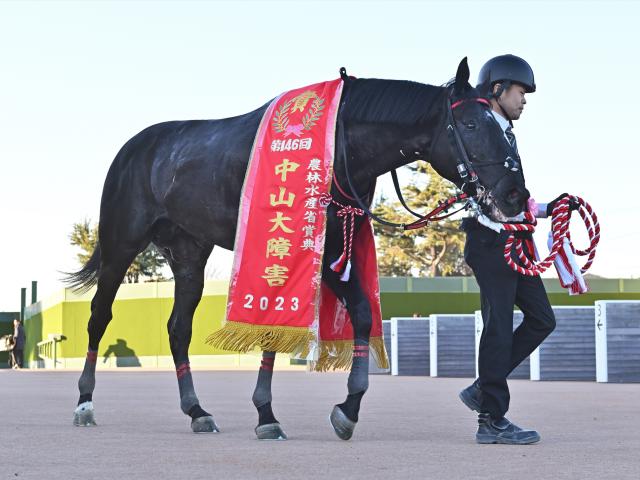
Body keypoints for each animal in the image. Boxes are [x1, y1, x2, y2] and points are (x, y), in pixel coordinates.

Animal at [67, 59, 528, 438]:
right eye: (471, 125)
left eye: (506, 128)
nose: (515, 195)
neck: (338, 145)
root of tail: (136, 147)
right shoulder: (298, 248)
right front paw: (281, 412)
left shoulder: (323, 250)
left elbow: (353, 316)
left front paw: (335, 409)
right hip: (121, 243)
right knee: (99, 316)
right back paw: (84, 403)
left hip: (188, 253)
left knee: (179, 328)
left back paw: (197, 411)